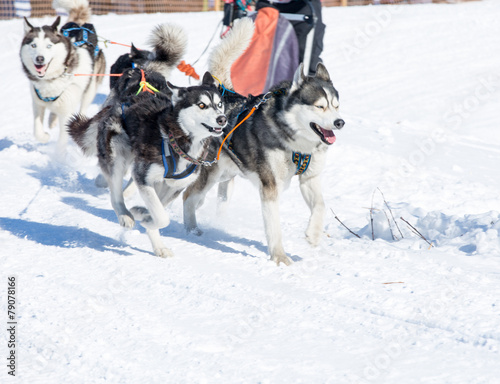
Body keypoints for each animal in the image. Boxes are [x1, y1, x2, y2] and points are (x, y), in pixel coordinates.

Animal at [19, 0, 105, 150]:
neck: (51, 79)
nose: (40, 59)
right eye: (33, 45)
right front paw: (44, 136)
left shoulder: (67, 111)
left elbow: (62, 141)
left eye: (49, 46)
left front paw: (59, 155)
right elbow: (37, 130)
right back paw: (52, 120)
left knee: (82, 109)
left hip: (89, 90)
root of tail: (80, 26)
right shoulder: (37, 104)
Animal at [68, 70, 227, 258]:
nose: (222, 119)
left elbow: (158, 212)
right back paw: (125, 215)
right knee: (116, 193)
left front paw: (144, 216)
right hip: (118, 156)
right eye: (202, 105)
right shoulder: (145, 177)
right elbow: (162, 217)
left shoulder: (174, 186)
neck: (175, 140)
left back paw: (155, 241)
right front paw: (143, 217)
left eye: (219, 104)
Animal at [183, 19, 344, 266]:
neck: (296, 143)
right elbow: (274, 226)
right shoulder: (270, 186)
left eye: (336, 105)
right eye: (320, 106)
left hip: (226, 176)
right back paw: (191, 230)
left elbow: (320, 205)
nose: (340, 122)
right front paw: (279, 257)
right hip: (210, 173)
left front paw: (314, 235)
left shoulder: (310, 178)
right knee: (188, 196)